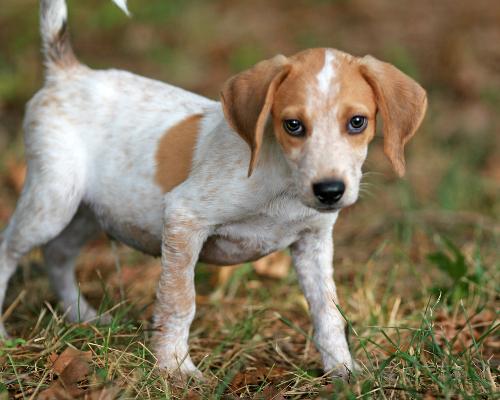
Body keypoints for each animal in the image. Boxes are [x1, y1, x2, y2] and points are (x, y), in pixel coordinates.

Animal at [0, 0, 426, 378]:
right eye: (293, 125)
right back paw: (6, 334)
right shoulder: (184, 219)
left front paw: (342, 371)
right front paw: (174, 368)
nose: (330, 190)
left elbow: (328, 312)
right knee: (9, 250)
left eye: (357, 122)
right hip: (53, 201)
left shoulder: (314, 242)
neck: (282, 184)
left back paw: (83, 317)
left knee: (57, 254)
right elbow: (180, 301)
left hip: (90, 211)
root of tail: (69, 72)